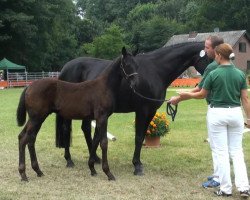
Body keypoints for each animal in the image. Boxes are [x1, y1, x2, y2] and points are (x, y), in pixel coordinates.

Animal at [17, 47, 139, 181]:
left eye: (137, 65)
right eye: (127, 64)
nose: (135, 83)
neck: (104, 87)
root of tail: (28, 87)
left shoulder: (98, 119)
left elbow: (95, 141)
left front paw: (92, 169)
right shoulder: (102, 117)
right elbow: (103, 143)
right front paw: (108, 173)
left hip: (37, 118)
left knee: (29, 138)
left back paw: (38, 171)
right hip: (36, 118)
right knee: (24, 139)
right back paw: (23, 174)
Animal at [55, 41, 210, 176]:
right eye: (209, 57)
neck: (156, 70)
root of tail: (65, 69)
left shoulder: (151, 111)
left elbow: (141, 137)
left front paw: (138, 163)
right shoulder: (142, 110)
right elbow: (139, 136)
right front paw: (137, 166)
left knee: (86, 129)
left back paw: (96, 159)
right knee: (66, 130)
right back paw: (69, 160)